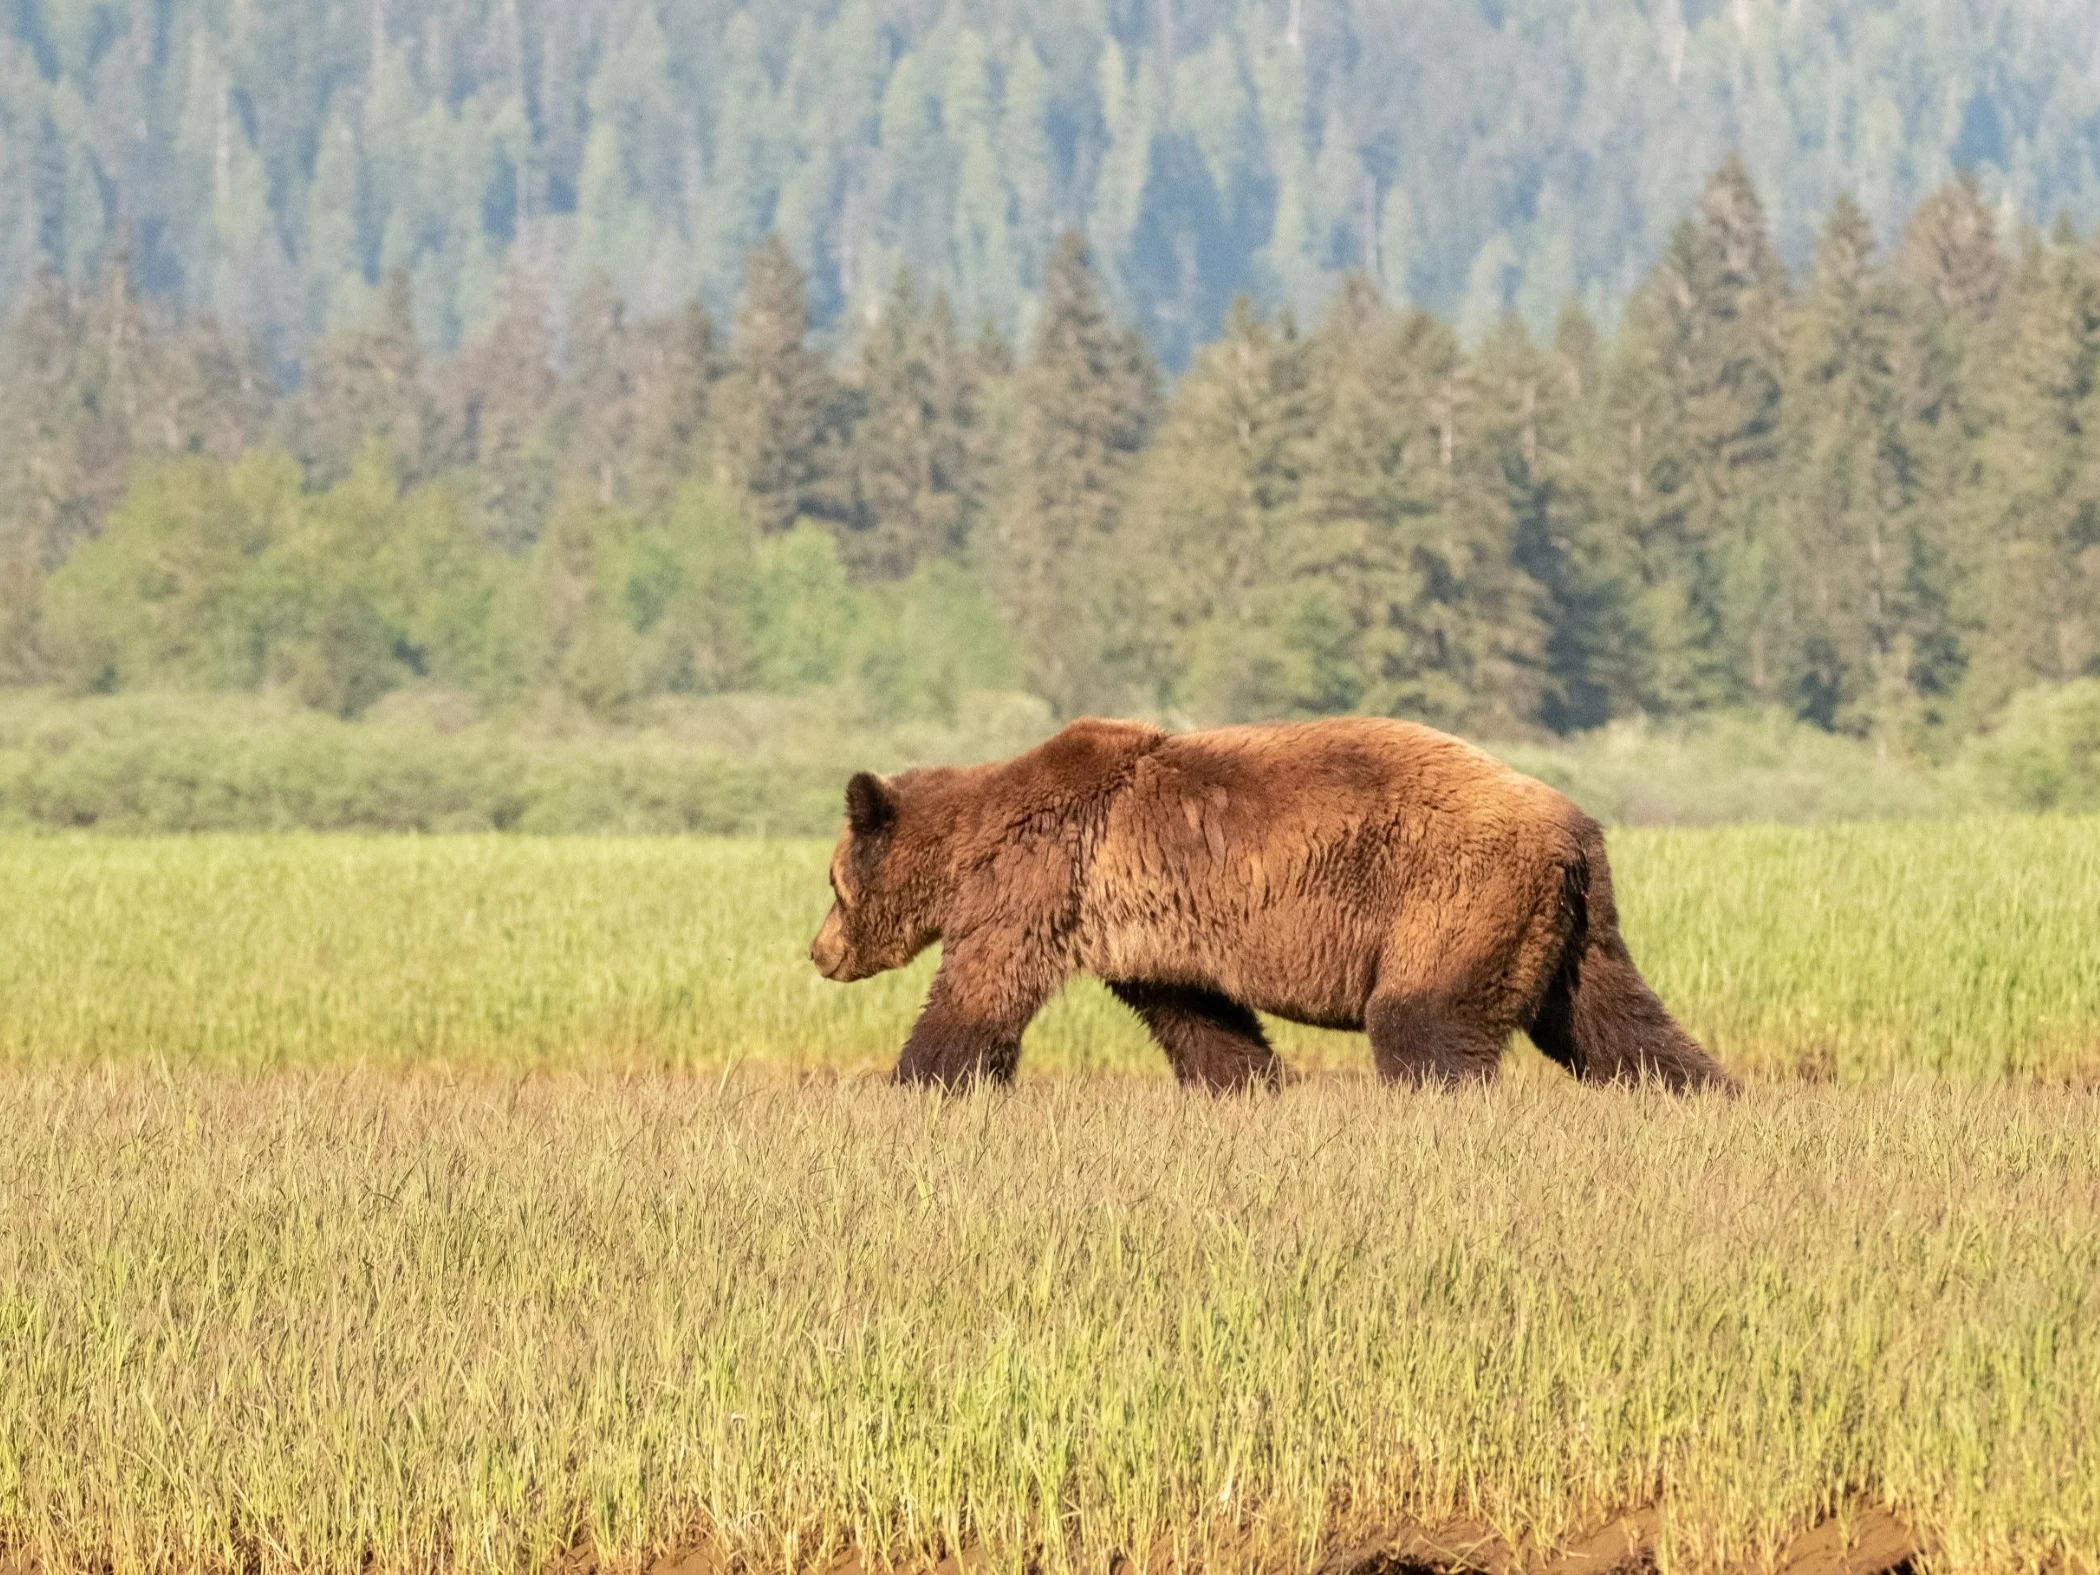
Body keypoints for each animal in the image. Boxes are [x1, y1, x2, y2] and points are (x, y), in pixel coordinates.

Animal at [810, 722, 1730, 1092]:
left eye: (829, 880)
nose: (818, 951)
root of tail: (1574, 825)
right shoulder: (1146, 930)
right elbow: (1201, 1019)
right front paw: (1250, 1083)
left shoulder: (1039, 883)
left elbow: (977, 997)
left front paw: (917, 1082)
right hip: (1572, 924)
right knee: (1615, 1023)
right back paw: (1704, 1093)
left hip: (1454, 893)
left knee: (1425, 1021)